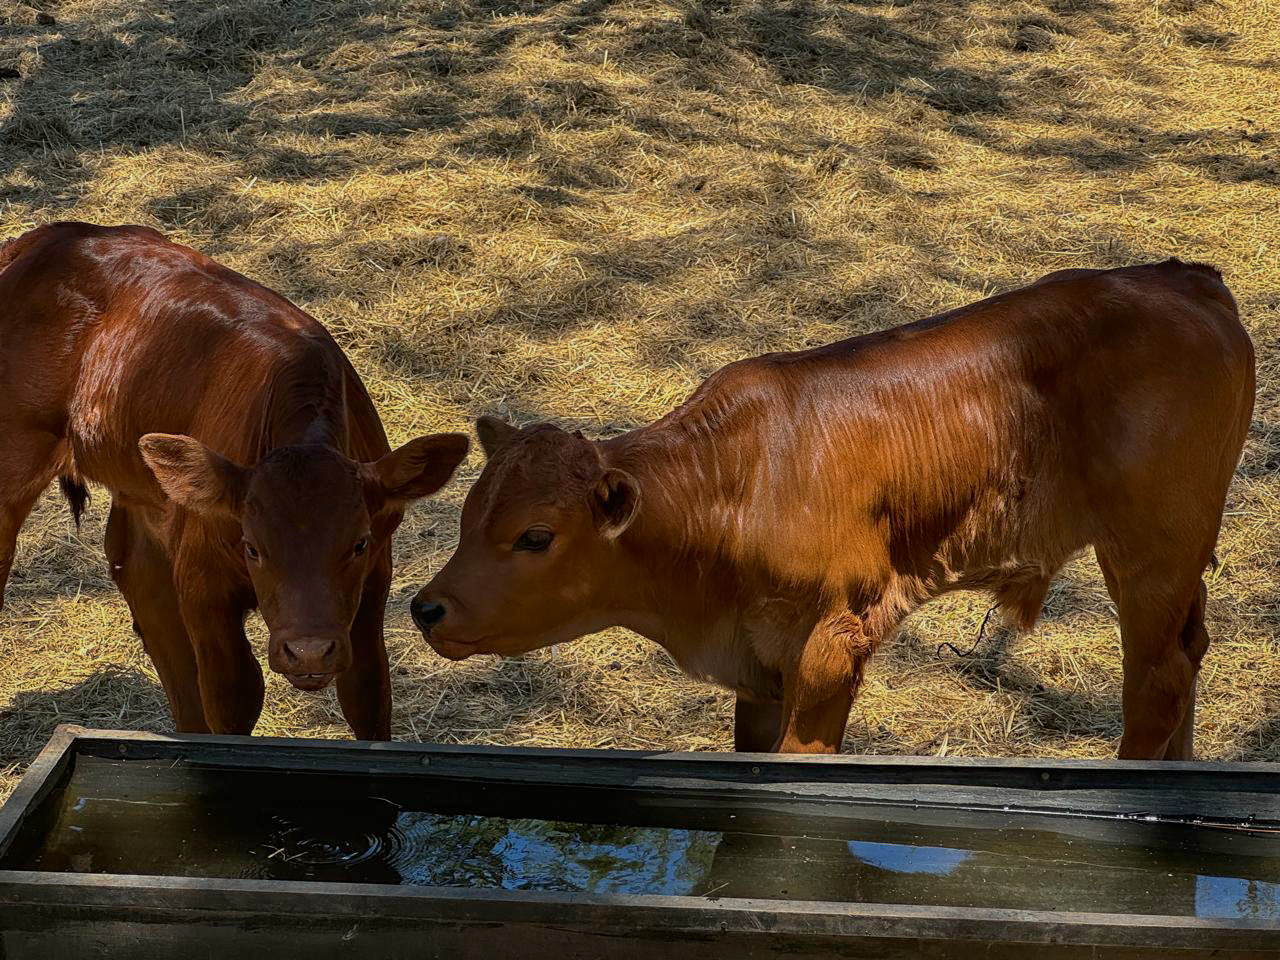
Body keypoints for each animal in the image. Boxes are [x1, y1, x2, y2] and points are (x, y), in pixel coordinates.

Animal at [0, 222, 469, 739]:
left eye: (359, 543)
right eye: (252, 547)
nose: (308, 652)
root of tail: (52, 237)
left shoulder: (372, 585)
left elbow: (367, 692)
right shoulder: (204, 586)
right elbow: (234, 696)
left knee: (141, 580)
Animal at [411, 260, 1255, 759]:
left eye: (536, 535)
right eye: (466, 512)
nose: (426, 607)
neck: (738, 484)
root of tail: (1181, 277)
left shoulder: (831, 646)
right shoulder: (760, 666)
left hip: (1152, 545)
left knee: (1157, 679)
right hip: (1178, 556)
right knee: (1188, 654)